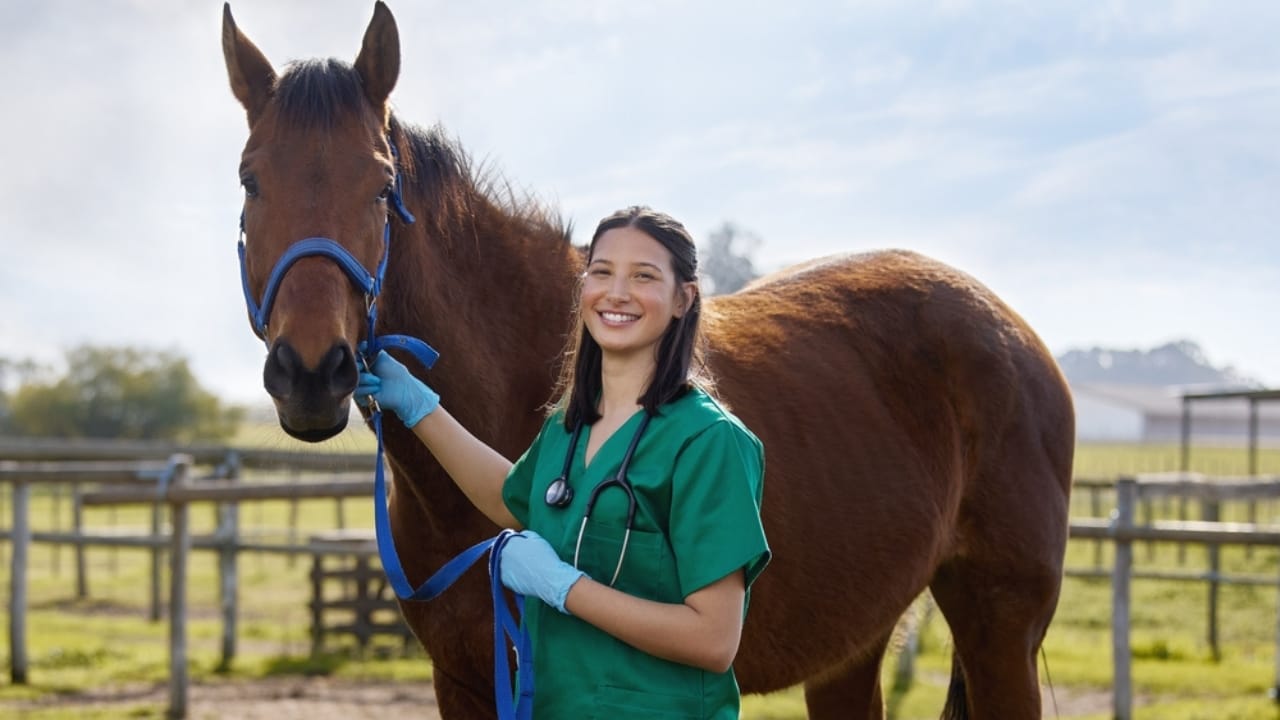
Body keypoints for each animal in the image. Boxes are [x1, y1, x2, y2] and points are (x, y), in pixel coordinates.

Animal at [221, 3, 1074, 718]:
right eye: (249, 179)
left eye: (380, 184)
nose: (311, 372)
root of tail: (1014, 334)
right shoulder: (461, 683)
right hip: (852, 644)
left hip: (1000, 630)